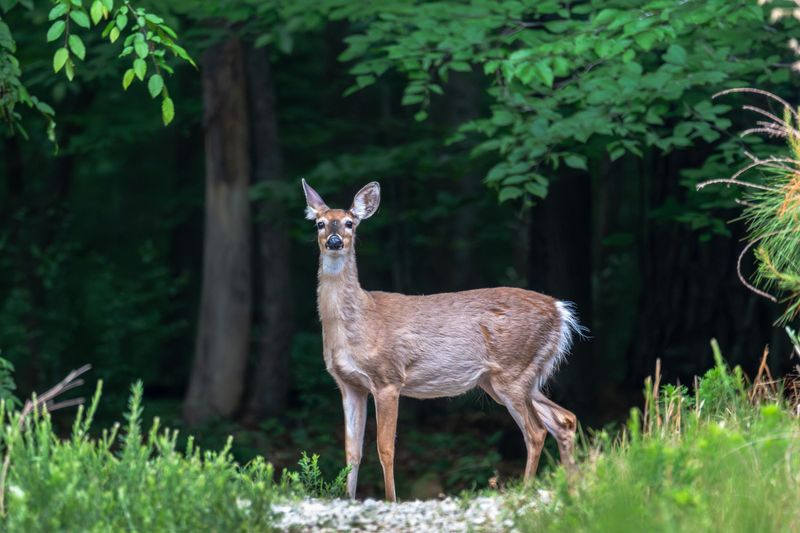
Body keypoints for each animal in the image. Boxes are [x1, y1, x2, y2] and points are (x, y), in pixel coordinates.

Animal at [301, 179, 584, 501]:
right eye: (320, 223)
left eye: (350, 223)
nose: (335, 241)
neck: (357, 321)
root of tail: (560, 311)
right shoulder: (349, 385)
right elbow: (352, 452)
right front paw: (348, 498)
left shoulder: (388, 378)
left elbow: (385, 449)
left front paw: (391, 500)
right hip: (513, 378)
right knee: (564, 419)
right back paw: (573, 489)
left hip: (513, 372)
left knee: (536, 431)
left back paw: (527, 490)